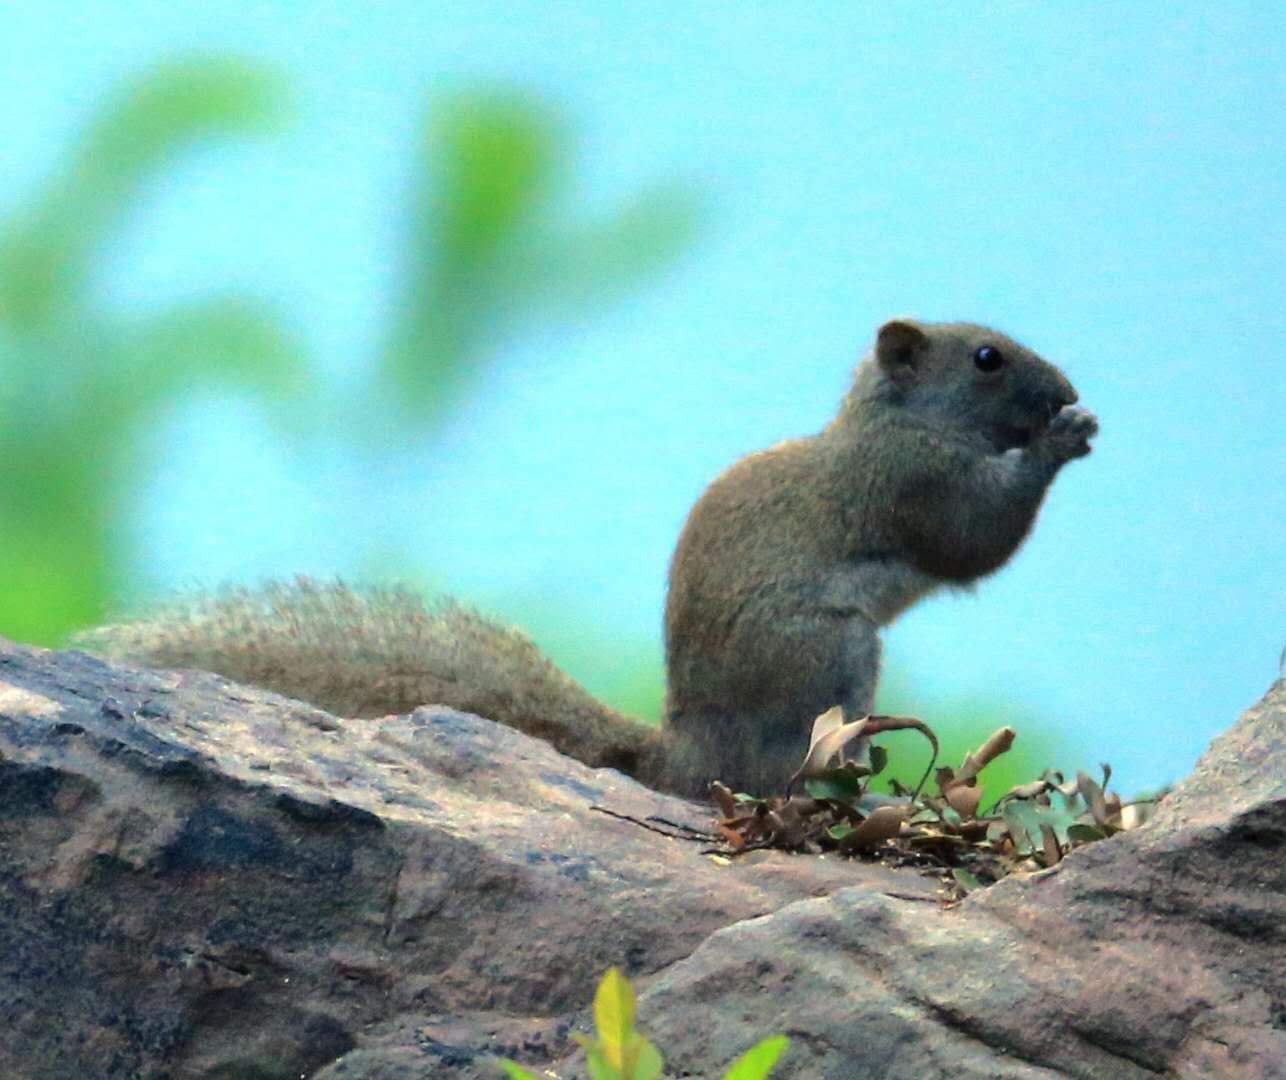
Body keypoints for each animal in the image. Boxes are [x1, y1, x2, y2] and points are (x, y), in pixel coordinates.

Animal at [80, 316, 1100, 797]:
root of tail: (681, 757)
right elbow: (975, 538)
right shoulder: (912, 483)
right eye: (985, 358)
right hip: (830, 652)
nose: (1068, 388)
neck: (891, 419)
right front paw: (1065, 439)